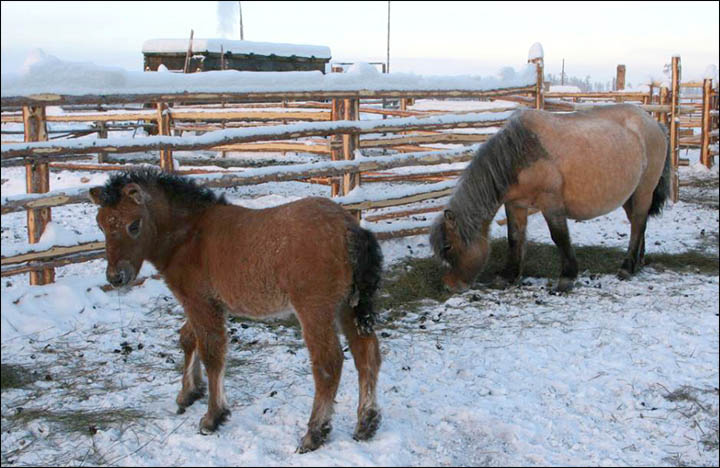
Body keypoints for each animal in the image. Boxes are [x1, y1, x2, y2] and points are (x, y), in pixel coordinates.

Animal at [89, 169, 386, 454]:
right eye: (100, 223)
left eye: (134, 224)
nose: (116, 277)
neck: (190, 236)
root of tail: (349, 227)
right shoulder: (200, 303)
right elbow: (188, 339)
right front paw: (189, 393)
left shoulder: (199, 302)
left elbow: (212, 354)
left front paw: (213, 417)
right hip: (348, 305)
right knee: (366, 354)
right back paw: (366, 423)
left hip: (315, 309)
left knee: (328, 363)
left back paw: (314, 433)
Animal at [428, 105, 668, 292]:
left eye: (448, 246)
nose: (448, 285)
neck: (519, 154)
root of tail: (654, 123)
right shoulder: (515, 204)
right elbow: (514, 238)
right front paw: (508, 276)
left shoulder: (550, 202)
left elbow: (559, 236)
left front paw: (567, 277)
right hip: (630, 195)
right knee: (639, 223)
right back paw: (638, 263)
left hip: (644, 190)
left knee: (638, 223)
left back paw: (627, 268)